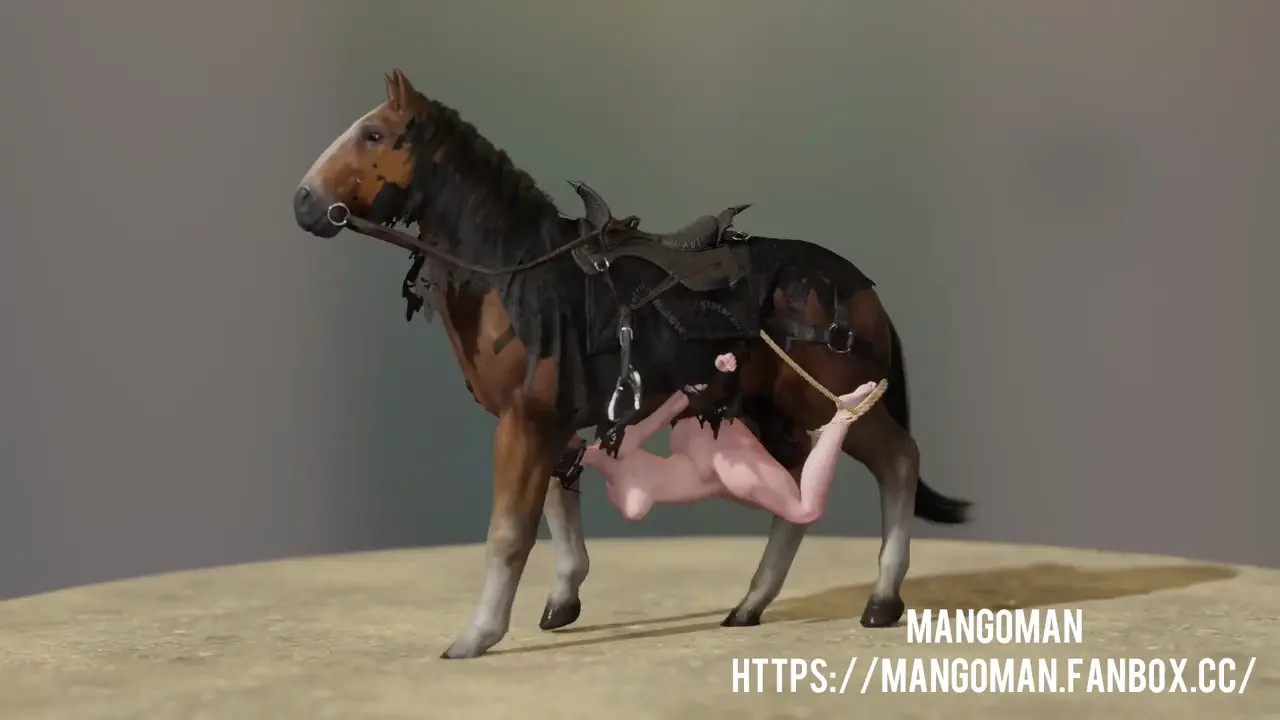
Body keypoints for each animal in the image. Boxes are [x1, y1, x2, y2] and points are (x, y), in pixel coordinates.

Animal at [291, 68, 971, 659]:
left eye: (373, 135)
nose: (304, 203)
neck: (519, 273)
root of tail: (858, 286)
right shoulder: (548, 422)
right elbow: (557, 506)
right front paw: (564, 598)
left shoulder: (525, 421)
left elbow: (510, 531)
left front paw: (477, 636)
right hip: (771, 410)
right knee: (800, 491)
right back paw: (751, 604)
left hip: (833, 401)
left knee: (898, 462)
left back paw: (882, 599)